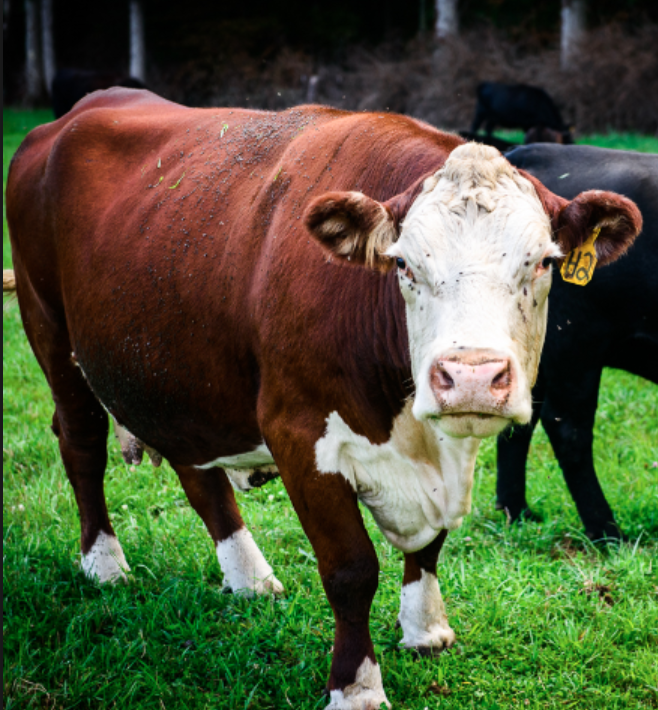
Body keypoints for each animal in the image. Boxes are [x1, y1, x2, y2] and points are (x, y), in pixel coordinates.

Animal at [5, 90, 640, 710]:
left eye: (546, 262)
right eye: (404, 264)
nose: (472, 375)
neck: (412, 433)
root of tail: (71, 116)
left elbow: (430, 545)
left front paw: (425, 629)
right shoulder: (300, 435)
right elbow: (351, 570)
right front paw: (356, 687)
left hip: (179, 375)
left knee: (197, 470)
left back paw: (248, 576)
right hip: (51, 330)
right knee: (82, 444)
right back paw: (104, 564)